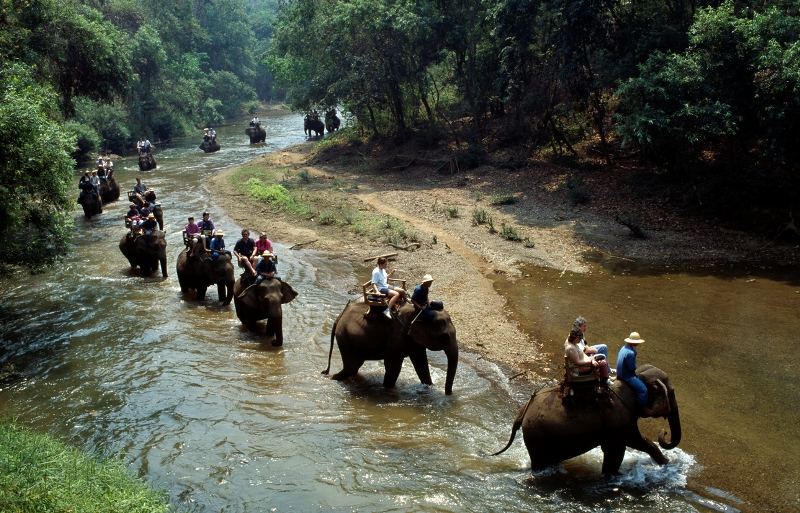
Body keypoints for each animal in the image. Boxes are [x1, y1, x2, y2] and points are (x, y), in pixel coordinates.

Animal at [322, 302, 460, 394]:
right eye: (444, 337)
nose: (448, 394)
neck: (418, 313)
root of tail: (341, 314)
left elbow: (421, 363)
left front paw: (429, 387)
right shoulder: (397, 335)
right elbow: (393, 365)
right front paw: (389, 390)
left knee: (353, 367)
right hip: (344, 336)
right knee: (352, 366)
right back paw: (331, 378)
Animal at [494, 362, 680, 474]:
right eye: (672, 393)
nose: (664, 432)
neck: (634, 378)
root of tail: (523, 411)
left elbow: (638, 442)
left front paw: (666, 463)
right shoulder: (619, 421)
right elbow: (621, 448)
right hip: (538, 438)